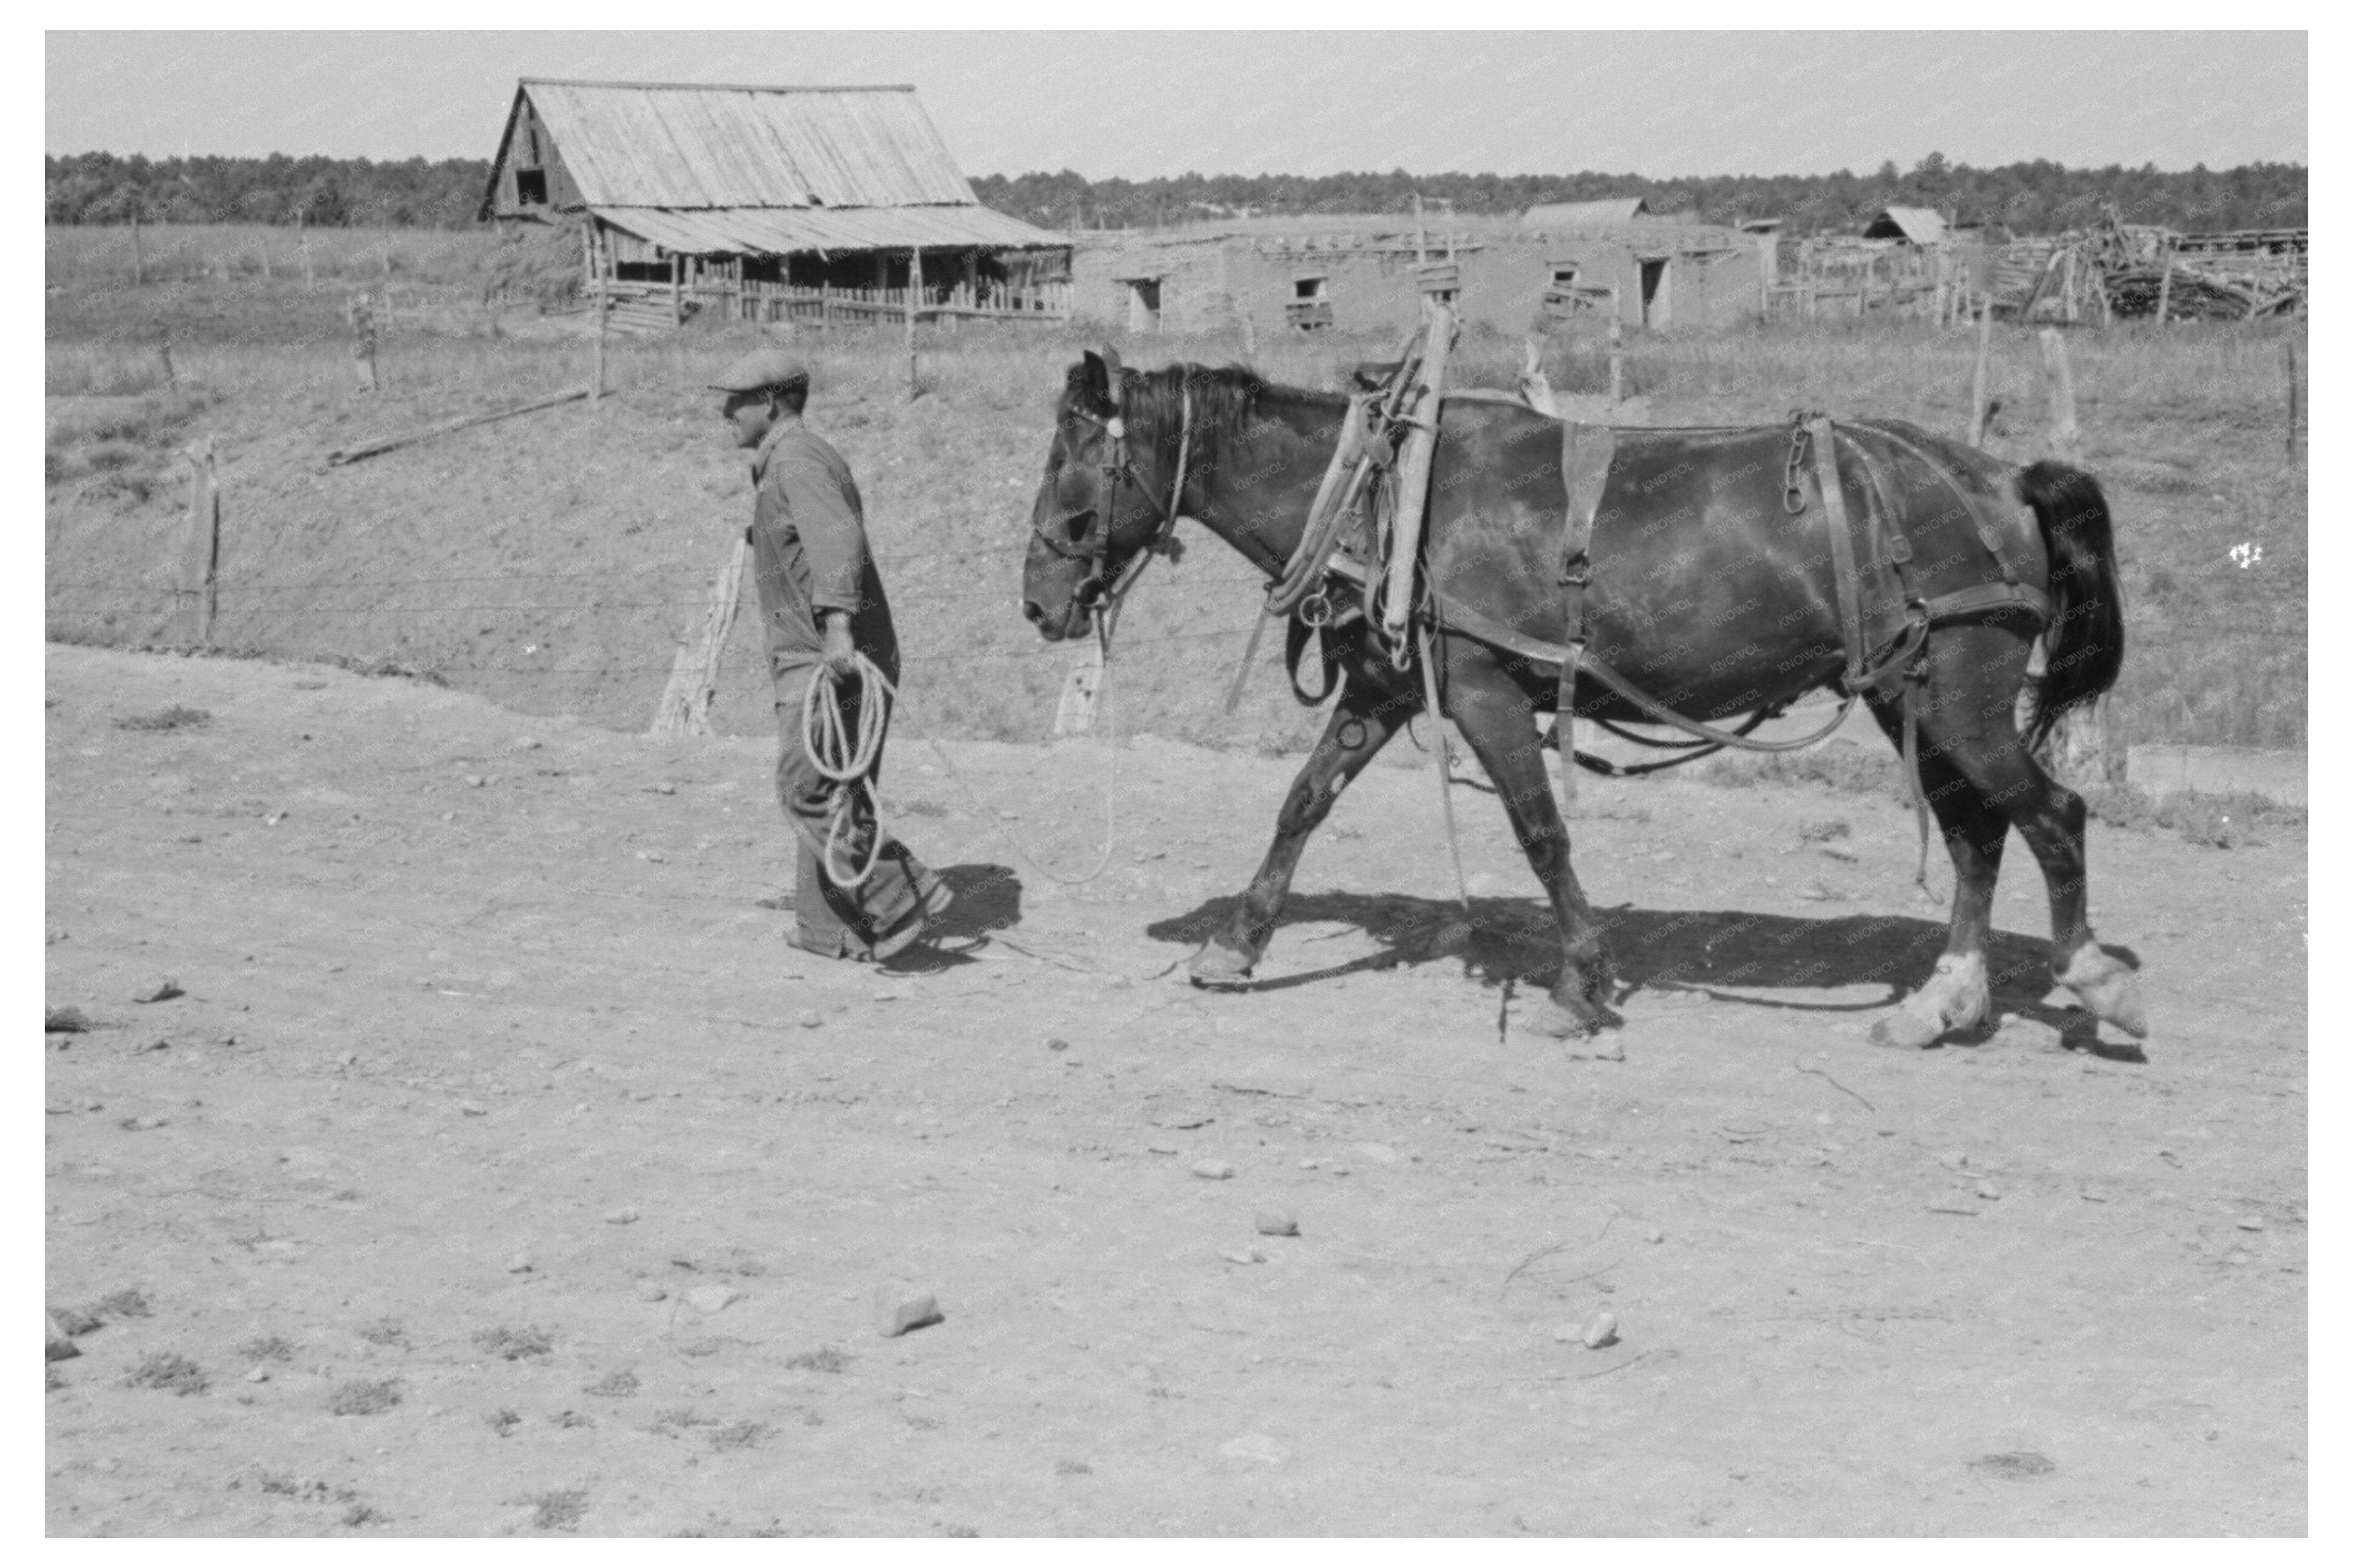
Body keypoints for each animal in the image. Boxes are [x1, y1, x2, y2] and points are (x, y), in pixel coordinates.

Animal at [1016, 358, 2155, 1045]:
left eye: (1072, 462)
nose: (1036, 599)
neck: (1386, 496)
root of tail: (2004, 479)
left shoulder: (1482, 689)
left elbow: (1538, 829)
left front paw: (1582, 981)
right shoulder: (1384, 684)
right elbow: (1300, 803)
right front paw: (1235, 945)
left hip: (1957, 694)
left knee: (2048, 815)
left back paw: (2091, 977)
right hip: (1905, 691)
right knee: (1975, 831)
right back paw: (1942, 998)